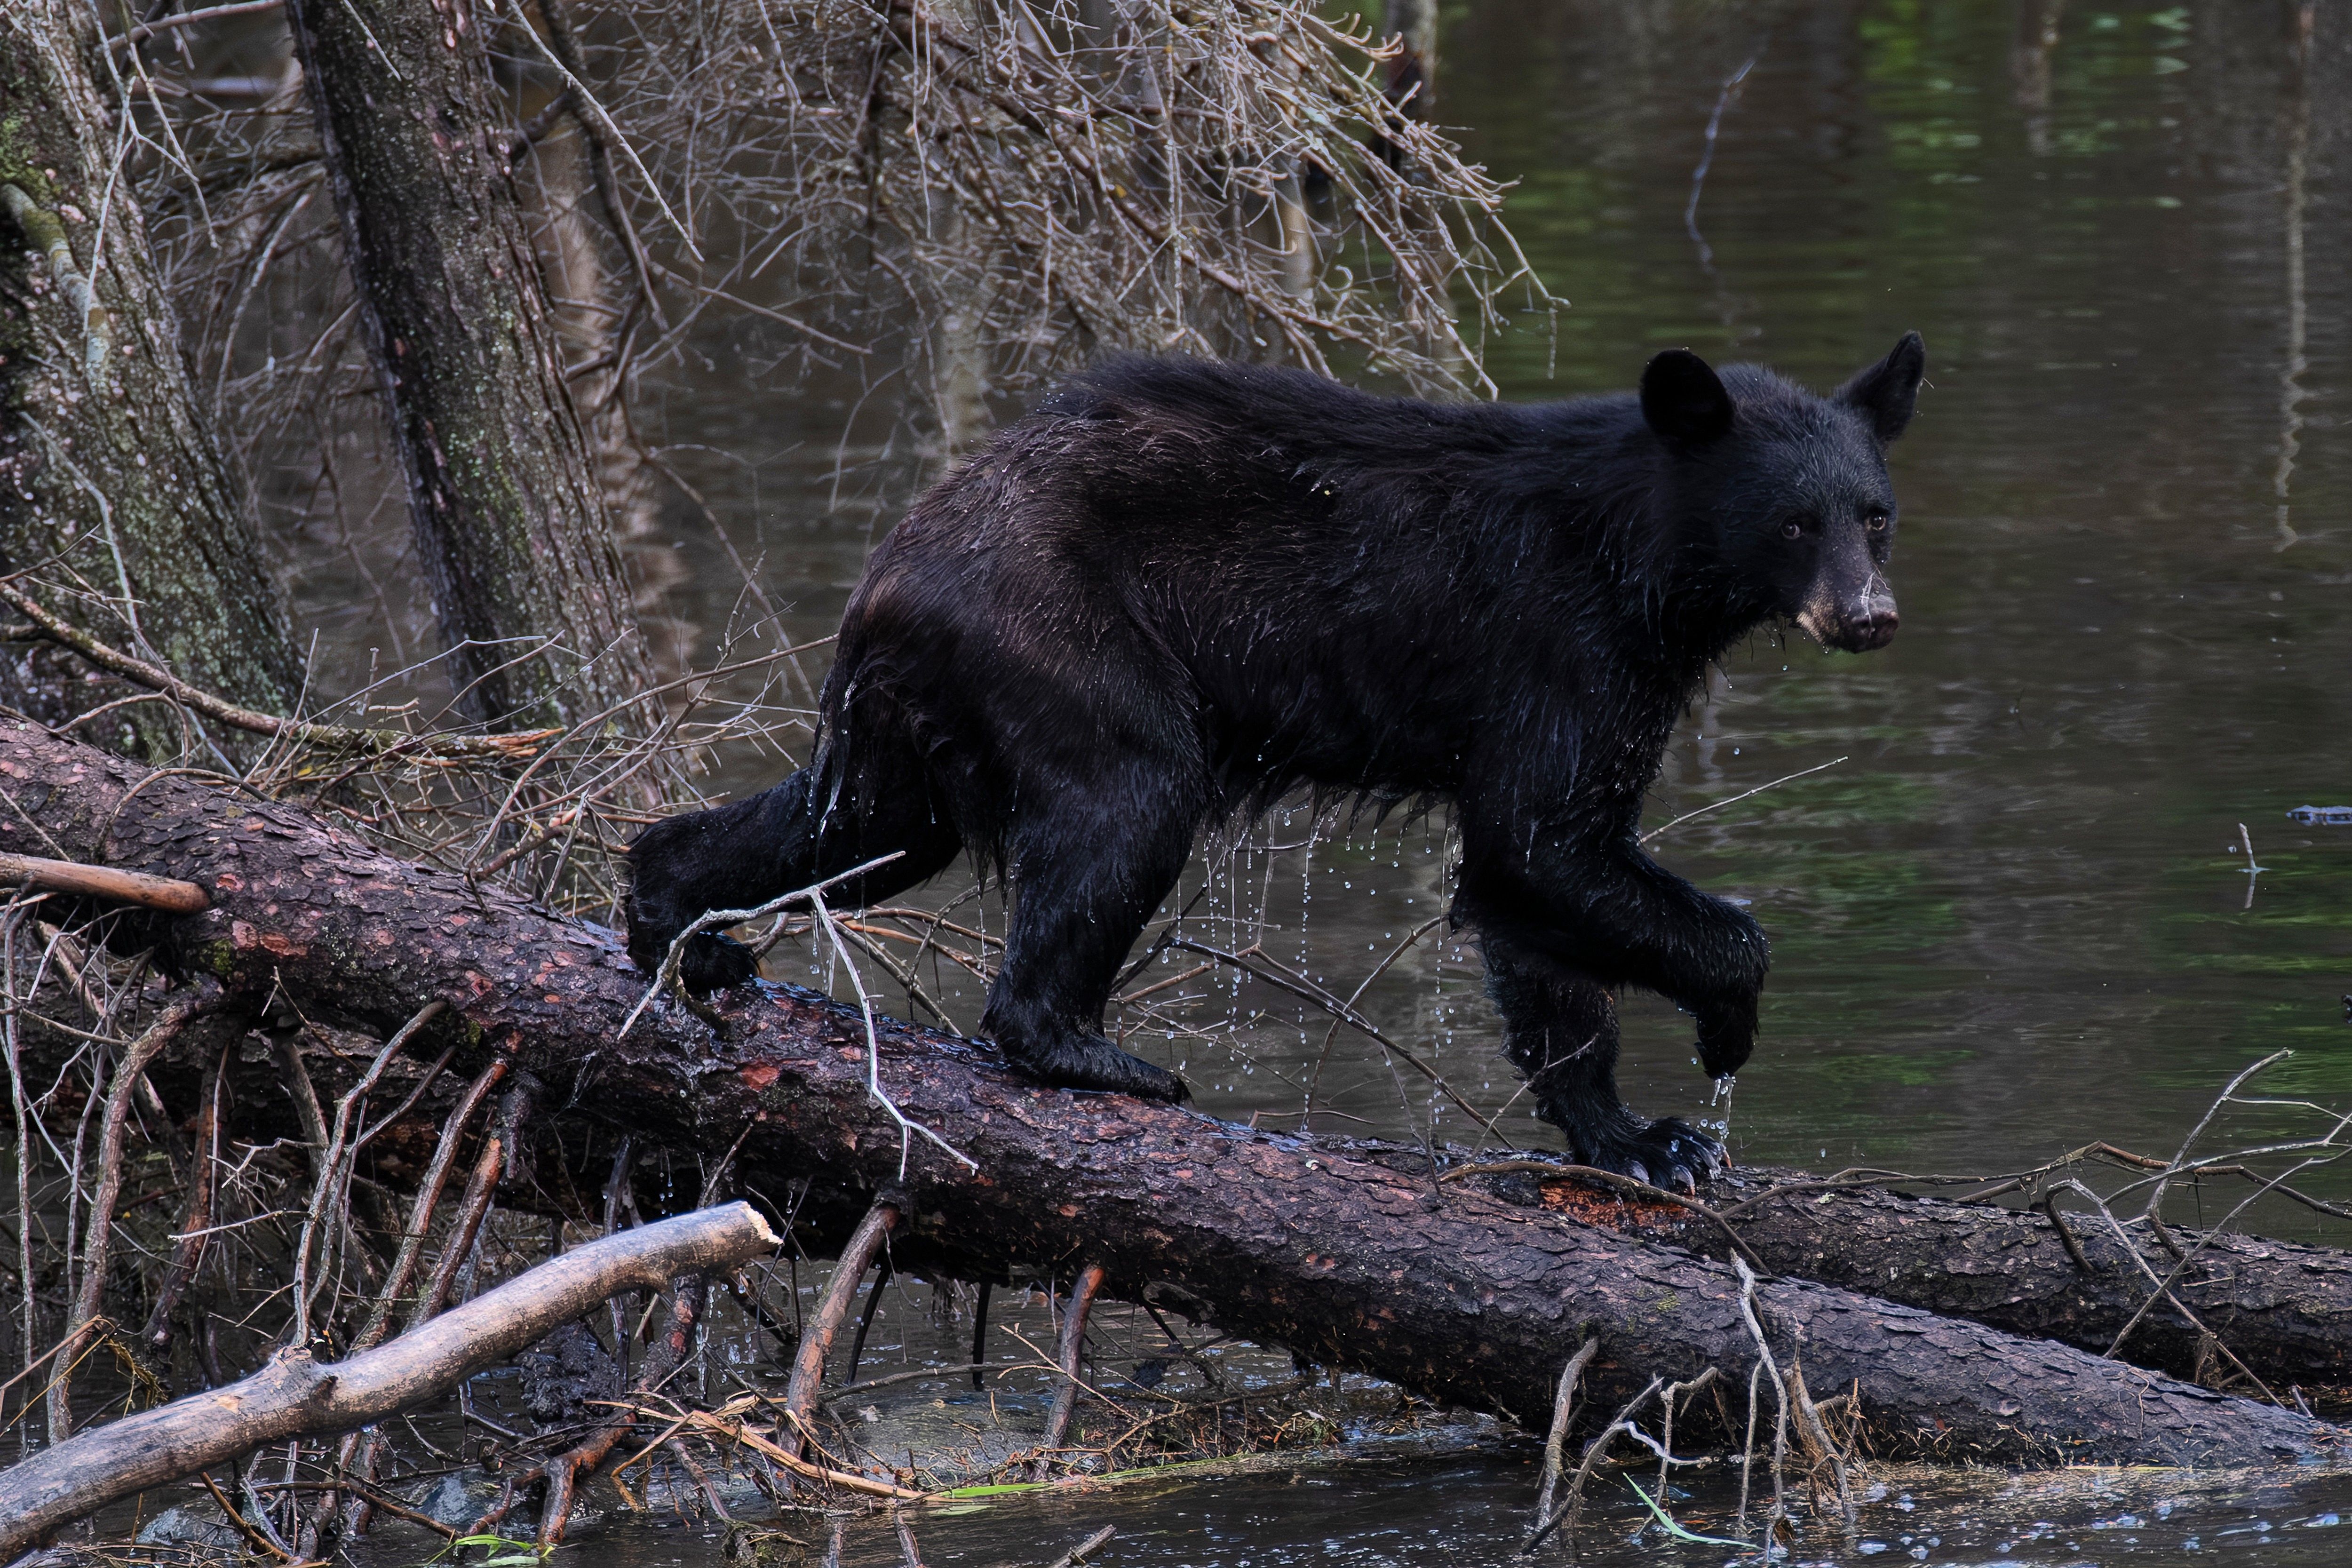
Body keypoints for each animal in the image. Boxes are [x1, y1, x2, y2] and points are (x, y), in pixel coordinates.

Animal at [626, 337, 1924, 1189]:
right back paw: (1095, 1054)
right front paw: (1724, 1033)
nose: (1869, 617)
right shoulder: (1560, 647)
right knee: (1128, 802)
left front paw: (1638, 1138)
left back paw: (678, 925)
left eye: (1875, 512)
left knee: (856, 825)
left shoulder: (1604, 679)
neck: (1642, 563)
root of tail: (895, 561)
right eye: (1793, 520)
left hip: (923, 713)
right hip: (1061, 636)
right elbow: (1546, 843)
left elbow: (1532, 903)